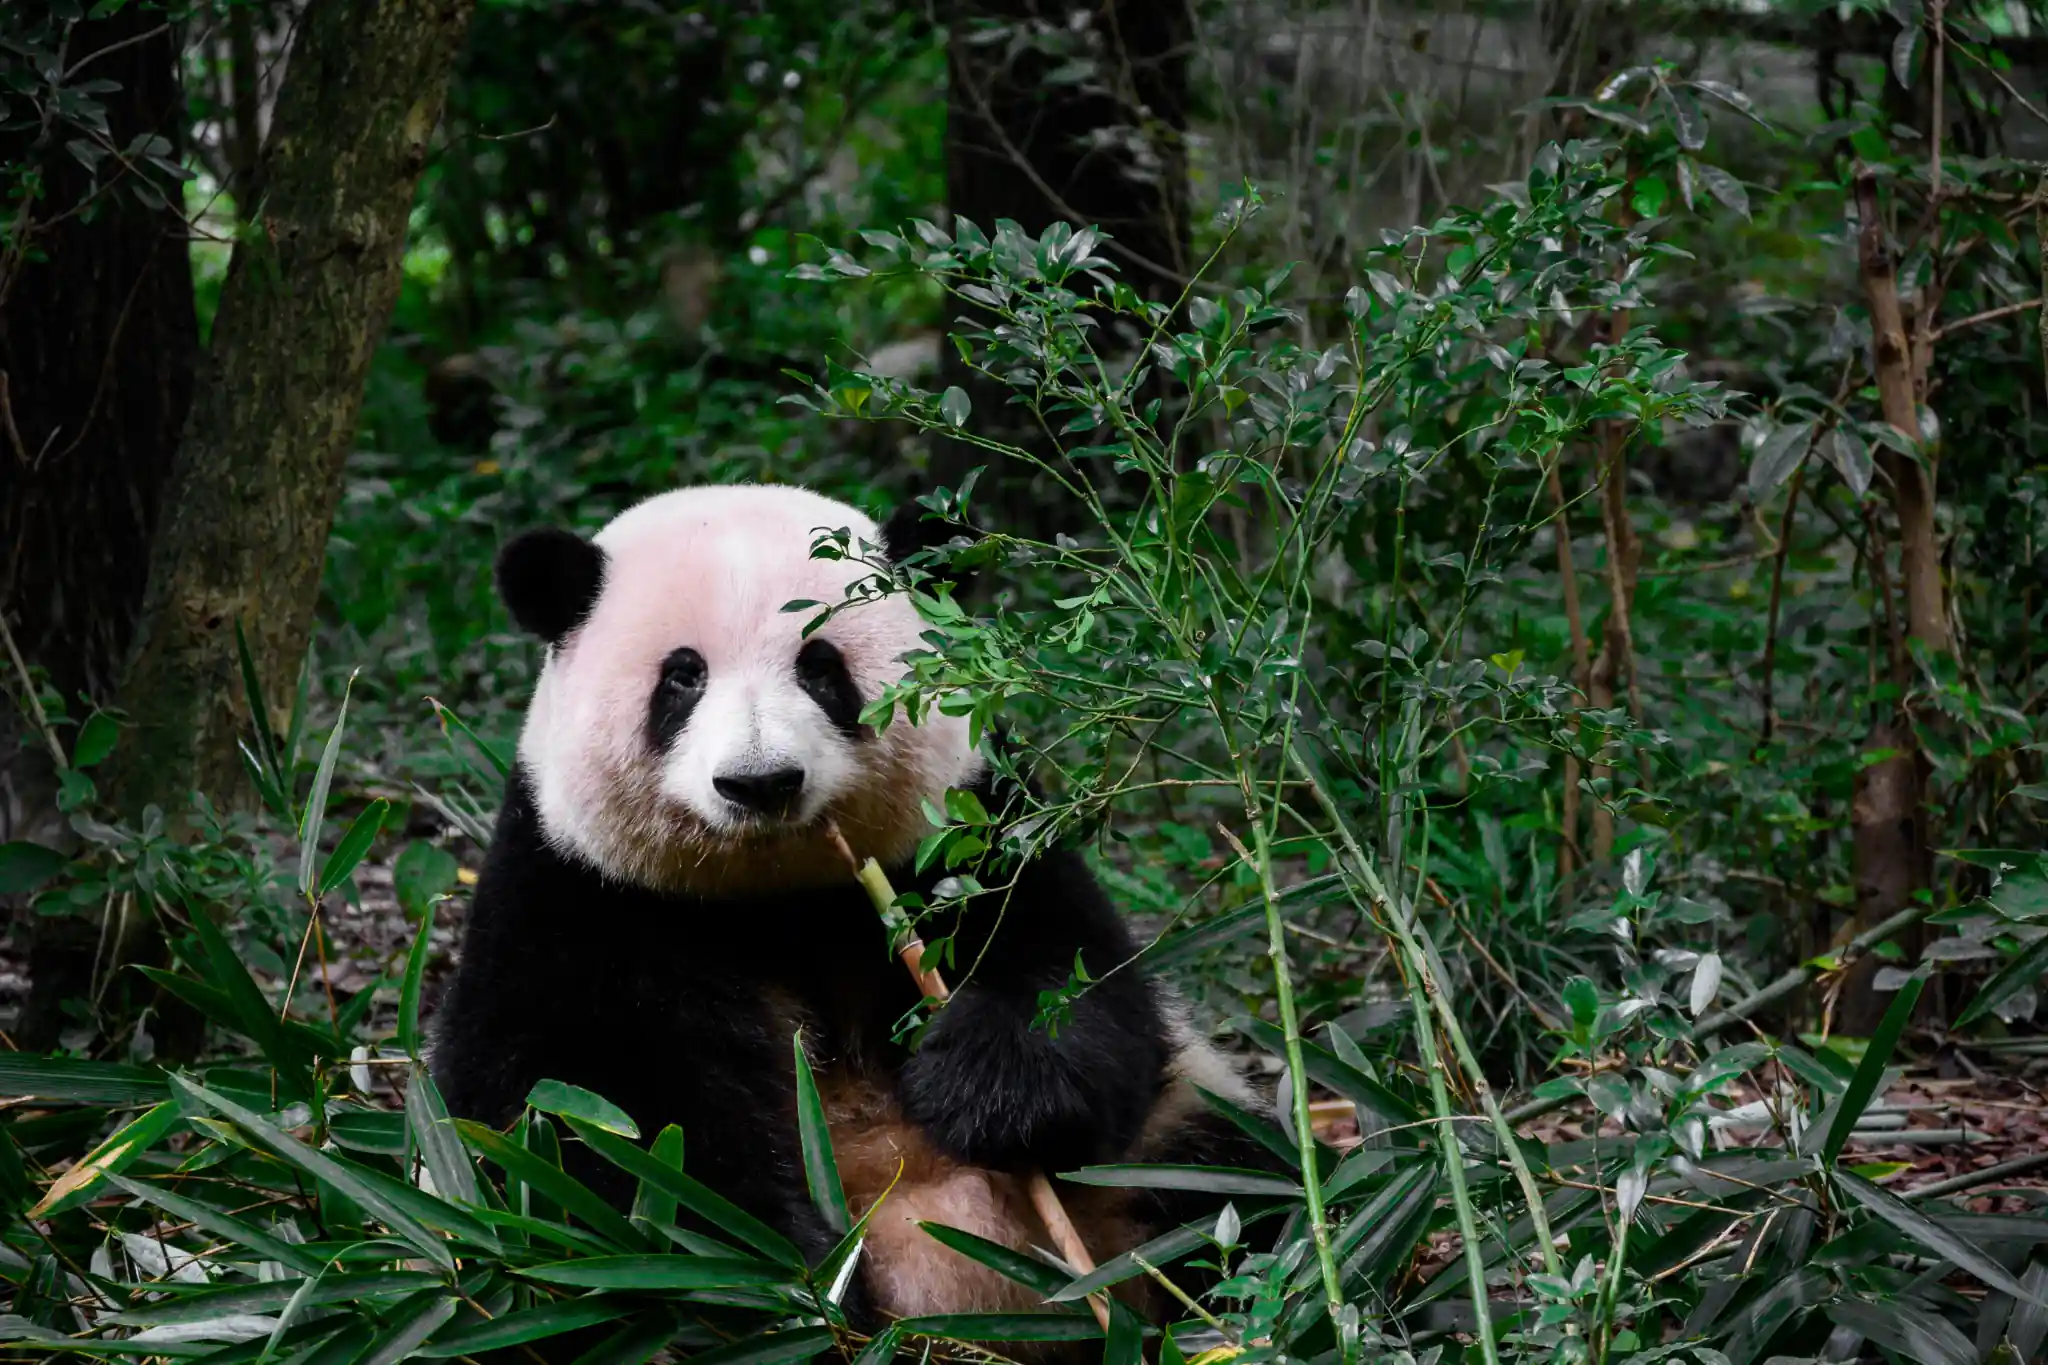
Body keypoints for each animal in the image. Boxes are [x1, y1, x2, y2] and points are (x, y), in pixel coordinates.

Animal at [429, 483, 1281, 1356]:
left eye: (820, 667)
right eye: (682, 677)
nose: (760, 781)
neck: (777, 893)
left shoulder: (976, 829)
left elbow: (1080, 983)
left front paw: (984, 1087)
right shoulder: (576, 885)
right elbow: (584, 1119)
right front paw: (781, 1269)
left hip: (1168, 1155)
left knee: (1238, 1188)